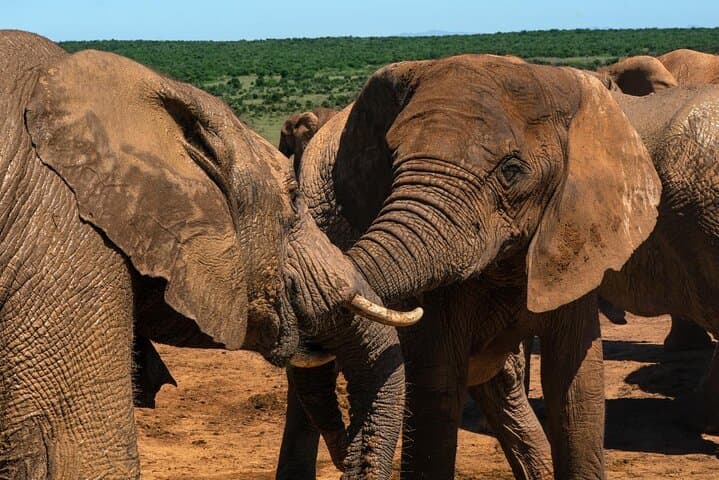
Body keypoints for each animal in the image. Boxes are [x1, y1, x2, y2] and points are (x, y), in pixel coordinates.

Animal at [280, 54, 661, 479]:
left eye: (511, 170)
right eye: (391, 162)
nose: (349, 446)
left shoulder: (572, 234)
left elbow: (576, 386)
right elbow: (436, 385)